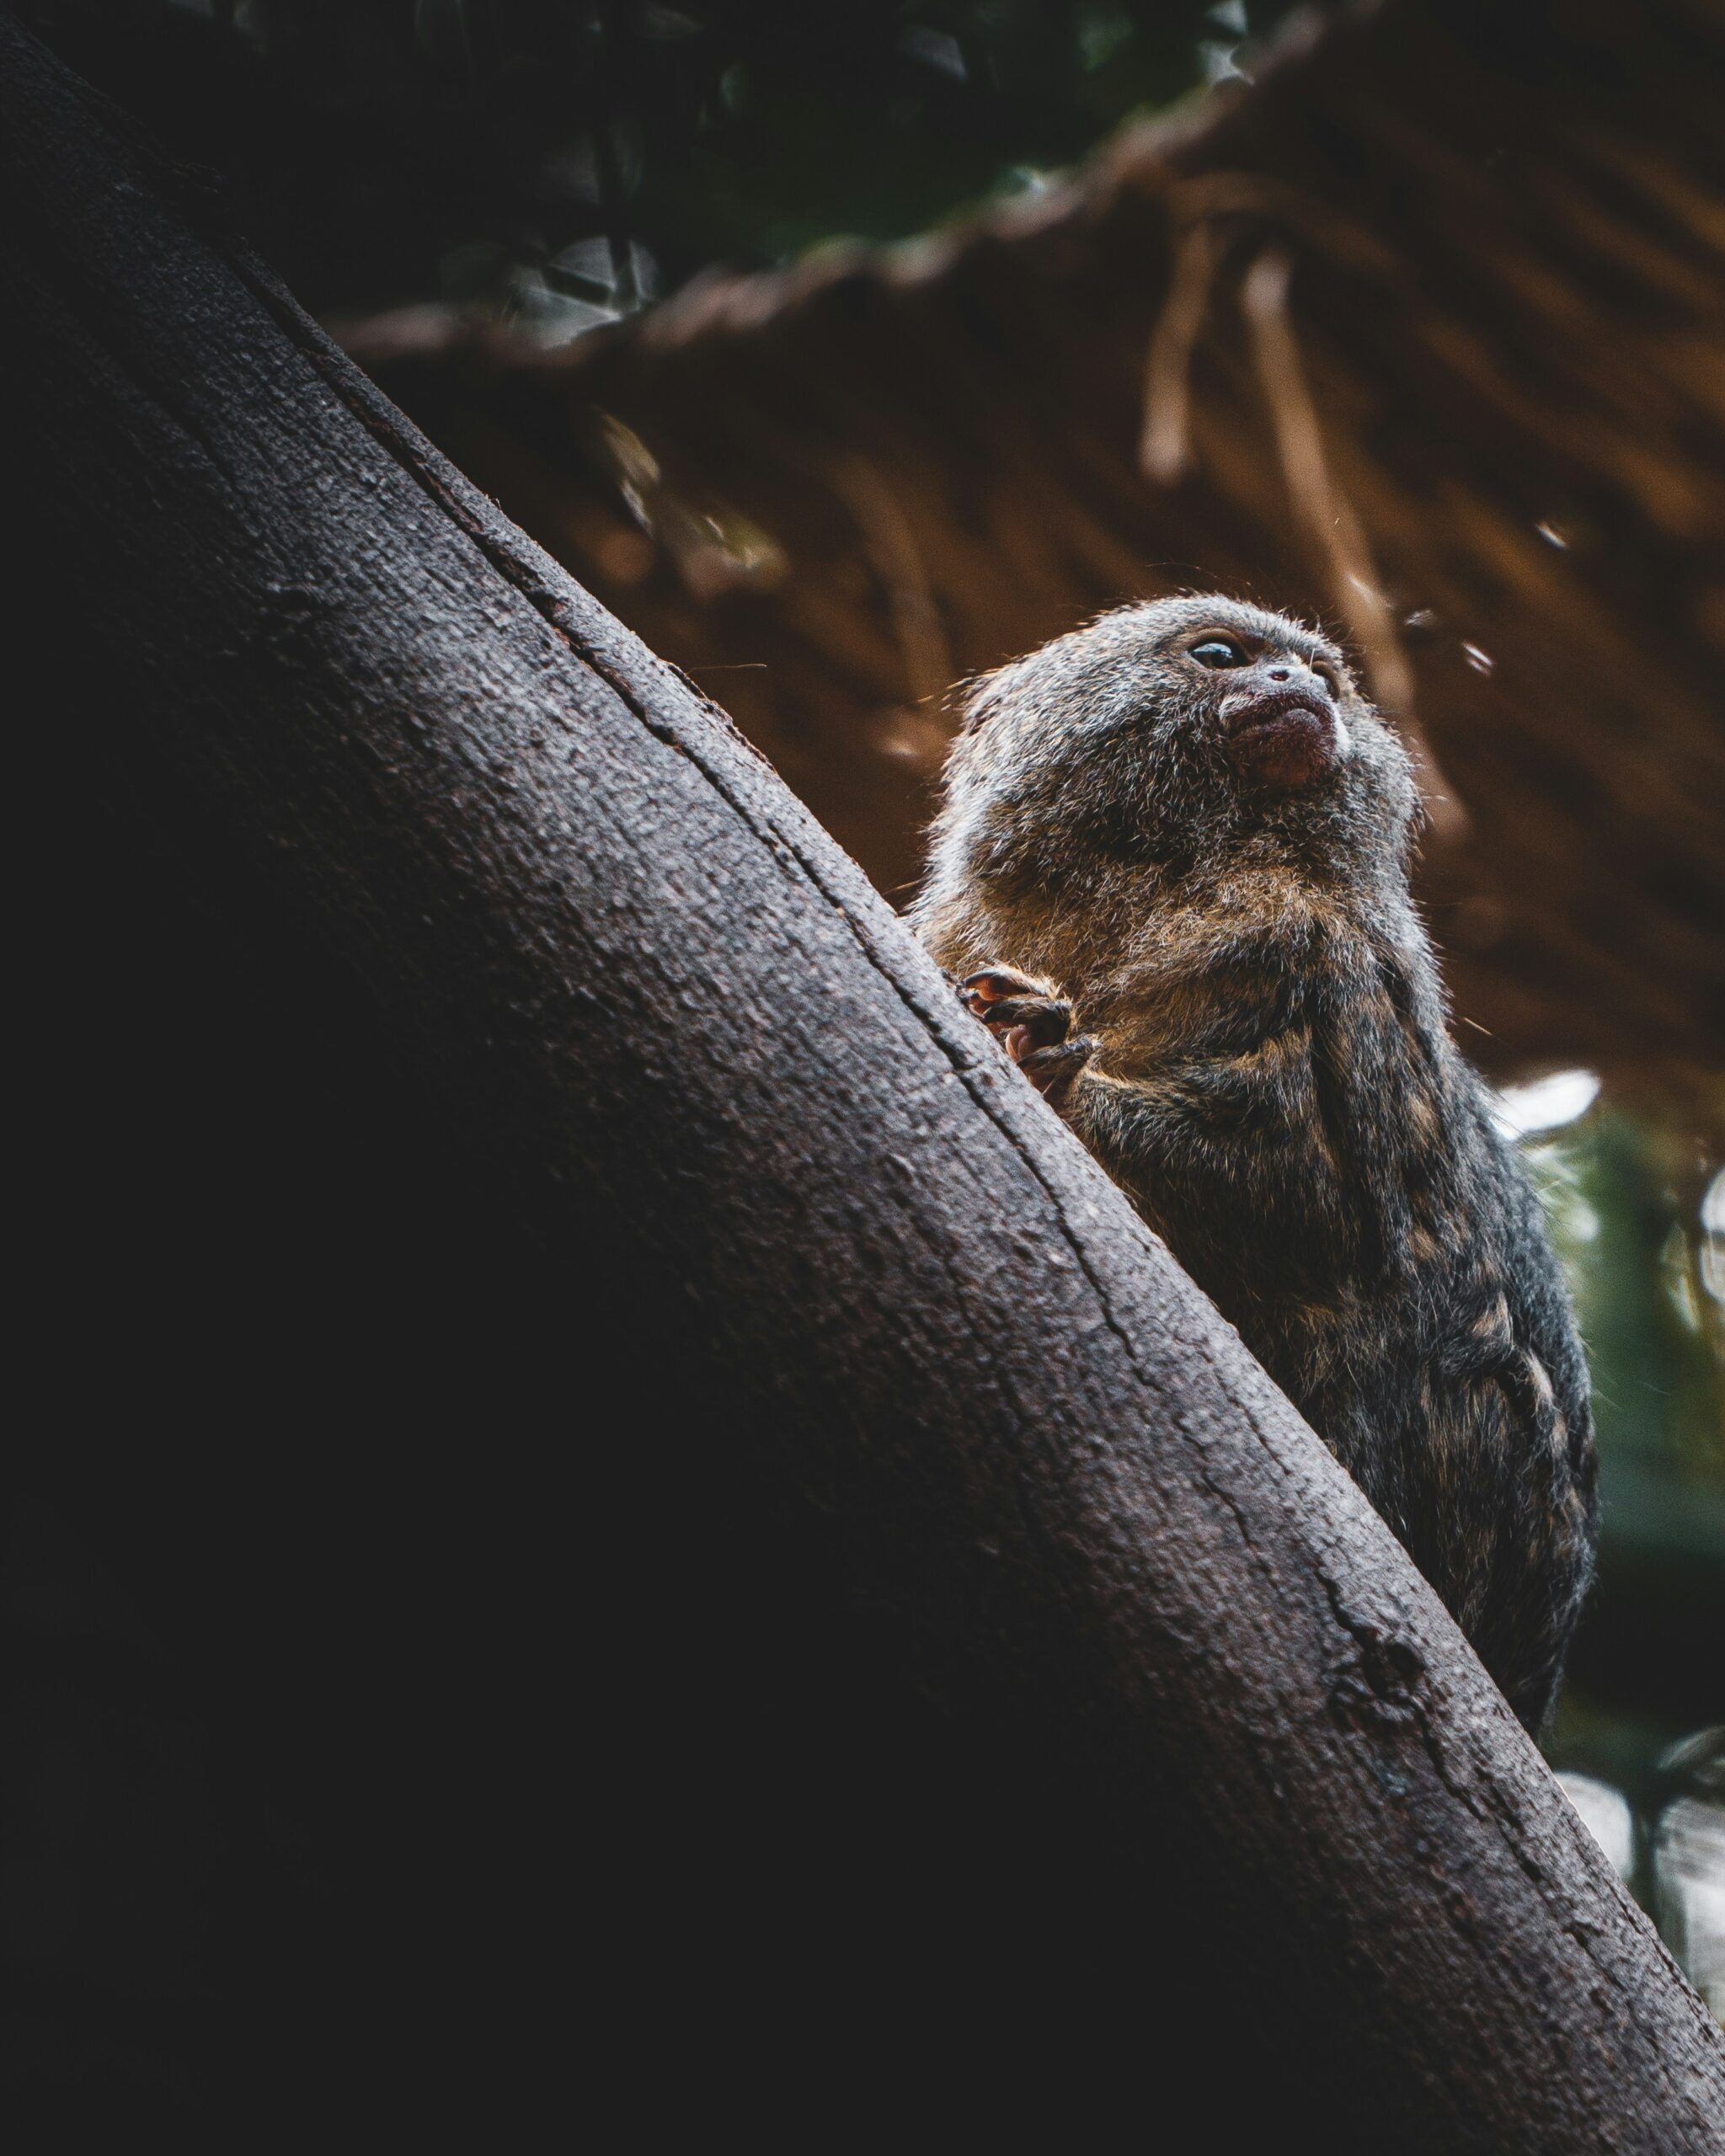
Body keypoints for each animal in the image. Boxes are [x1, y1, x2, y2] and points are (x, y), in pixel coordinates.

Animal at [911, 596, 1598, 1734]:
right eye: (1222, 655)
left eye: (1322, 673)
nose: (1299, 685)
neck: (1162, 876)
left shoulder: (1313, 950)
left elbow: (1311, 1204)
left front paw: (1052, 1064)